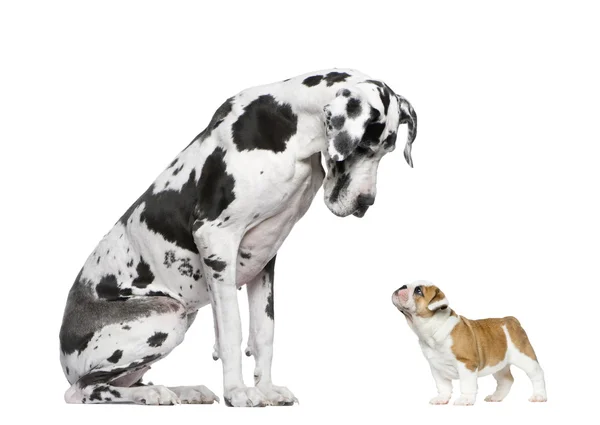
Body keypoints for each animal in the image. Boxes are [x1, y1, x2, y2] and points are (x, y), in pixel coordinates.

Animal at [59, 68, 418, 406]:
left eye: (387, 150)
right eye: (363, 146)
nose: (365, 203)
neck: (293, 128)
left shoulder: (265, 257)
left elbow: (263, 333)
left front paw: (267, 389)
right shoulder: (216, 239)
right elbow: (232, 331)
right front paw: (238, 393)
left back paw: (184, 390)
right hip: (167, 315)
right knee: (83, 390)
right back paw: (153, 394)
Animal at [392, 280, 548, 406]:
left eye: (418, 290)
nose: (402, 286)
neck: (433, 326)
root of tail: (510, 320)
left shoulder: (466, 364)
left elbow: (467, 385)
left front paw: (465, 400)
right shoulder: (436, 367)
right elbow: (443, 385)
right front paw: (442, 398)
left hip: (525, 357)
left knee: (537, 374)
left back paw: (539, 396)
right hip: (498, 363)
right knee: (506, 380)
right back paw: (496, 397)